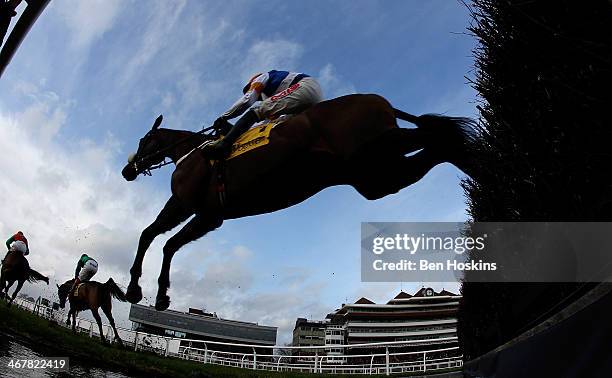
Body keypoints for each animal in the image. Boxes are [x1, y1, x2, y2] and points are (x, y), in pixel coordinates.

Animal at [119, 92, 474, 310]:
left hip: (378, 150)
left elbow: (165, 243)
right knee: (439, 144)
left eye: (144, 140)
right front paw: (136, 288)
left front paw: (156, 292)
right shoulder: (190, 208)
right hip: (375, 175)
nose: (127, 170)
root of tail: (379, 100)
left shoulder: (205, 212)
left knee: (441, 138)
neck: (192, 155)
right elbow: (150, 235)